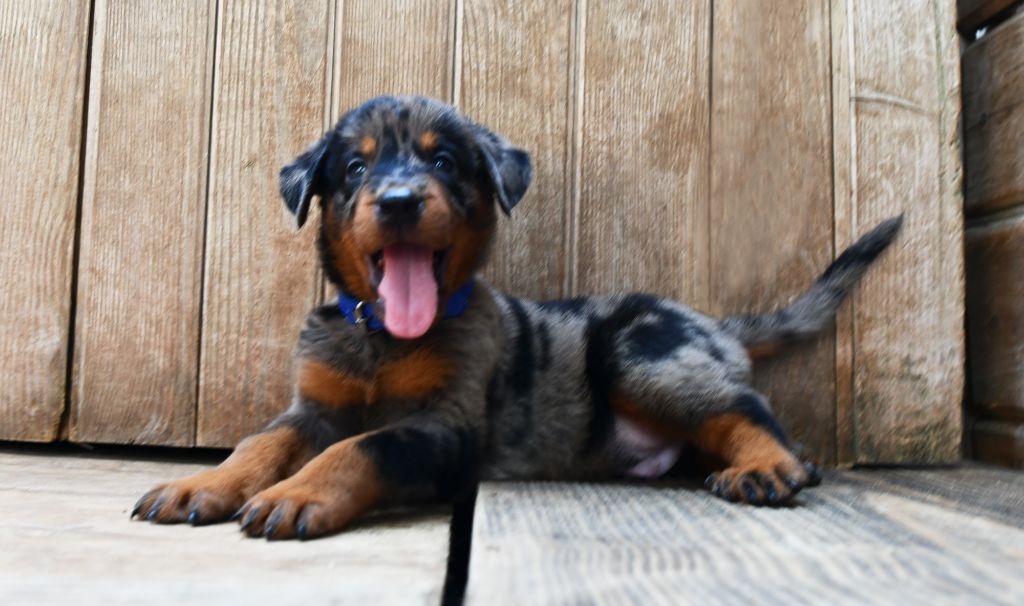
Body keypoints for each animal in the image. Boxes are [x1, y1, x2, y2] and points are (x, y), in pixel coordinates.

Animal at [132, 95, 902, 540]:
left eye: (445, 160)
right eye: (354, 168)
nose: (400, 201)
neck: (381, 337)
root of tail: (713, 323)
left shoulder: (448, 426)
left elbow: (362, 448)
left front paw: (295, 495)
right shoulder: (313, 406)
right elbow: (259, 443)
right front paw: (199, 485)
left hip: (641, 351)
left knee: (743, 404)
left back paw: (770, 465)